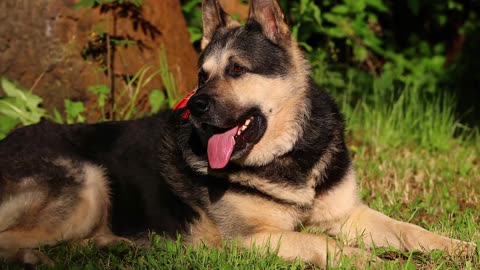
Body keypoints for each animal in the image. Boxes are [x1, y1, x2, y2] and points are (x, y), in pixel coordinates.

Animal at [0, 0, 474, 266]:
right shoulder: (255, 239)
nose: (195, 106)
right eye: (201, 75)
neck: (290, 153)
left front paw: (458, 247)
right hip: (88, 187)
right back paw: (37, 257)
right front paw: (371, 261)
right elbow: (322, 244)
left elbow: (412, 231)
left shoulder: (349, 216)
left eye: (237, 70)